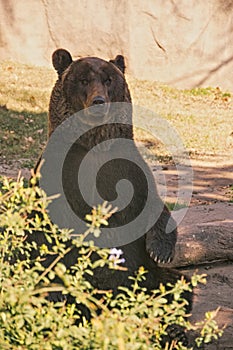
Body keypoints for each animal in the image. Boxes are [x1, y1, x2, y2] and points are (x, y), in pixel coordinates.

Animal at [37, 48, 191, 344]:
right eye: (83, 79)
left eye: (109, 79)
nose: (98, 101)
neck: (95, 144)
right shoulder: (59, 172)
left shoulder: (129, 169)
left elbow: (152, 206)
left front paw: (160, 251)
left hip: (146, 277)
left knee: (175, 285)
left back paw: (172, 330)